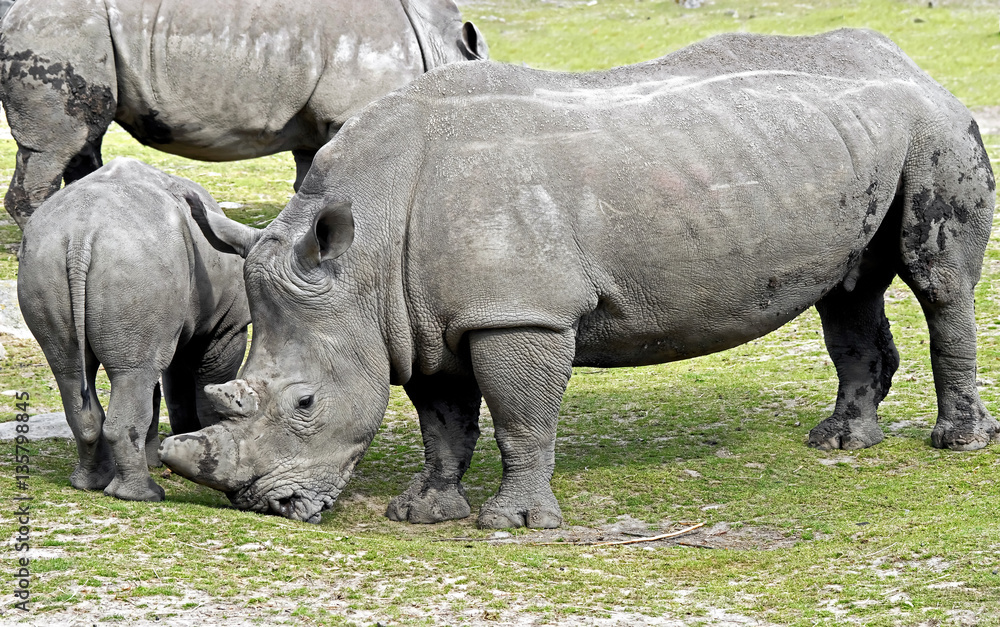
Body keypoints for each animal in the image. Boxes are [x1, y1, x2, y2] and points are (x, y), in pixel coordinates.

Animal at [0, 0, 487, 228]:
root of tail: (16, 12)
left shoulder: (319, 128)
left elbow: (313, 183)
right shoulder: (351, 113)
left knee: (86, 137)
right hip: (59, 27)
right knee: (57, 145)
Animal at [18, 158, 250, 501]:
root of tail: (80, 233)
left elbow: (161, 388)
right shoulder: (226, 327)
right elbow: (207, 382)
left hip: (44, 259)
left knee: (75, 370)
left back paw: (90, 483)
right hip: (136, 265)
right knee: (133, 373)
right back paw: (145, 495)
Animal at [159, 29, 997, 527]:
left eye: (304, 402)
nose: (266, 503)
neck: (361, 260)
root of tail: (913, 66)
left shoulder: (520, 310)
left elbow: (521, 417)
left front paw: (514, 524)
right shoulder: (420, 316)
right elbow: (442, 420)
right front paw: (424, 510)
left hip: (936, 128)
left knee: (938, 283)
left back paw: (954, 443)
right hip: (853, 142)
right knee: (847, 294)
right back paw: (839, 441)